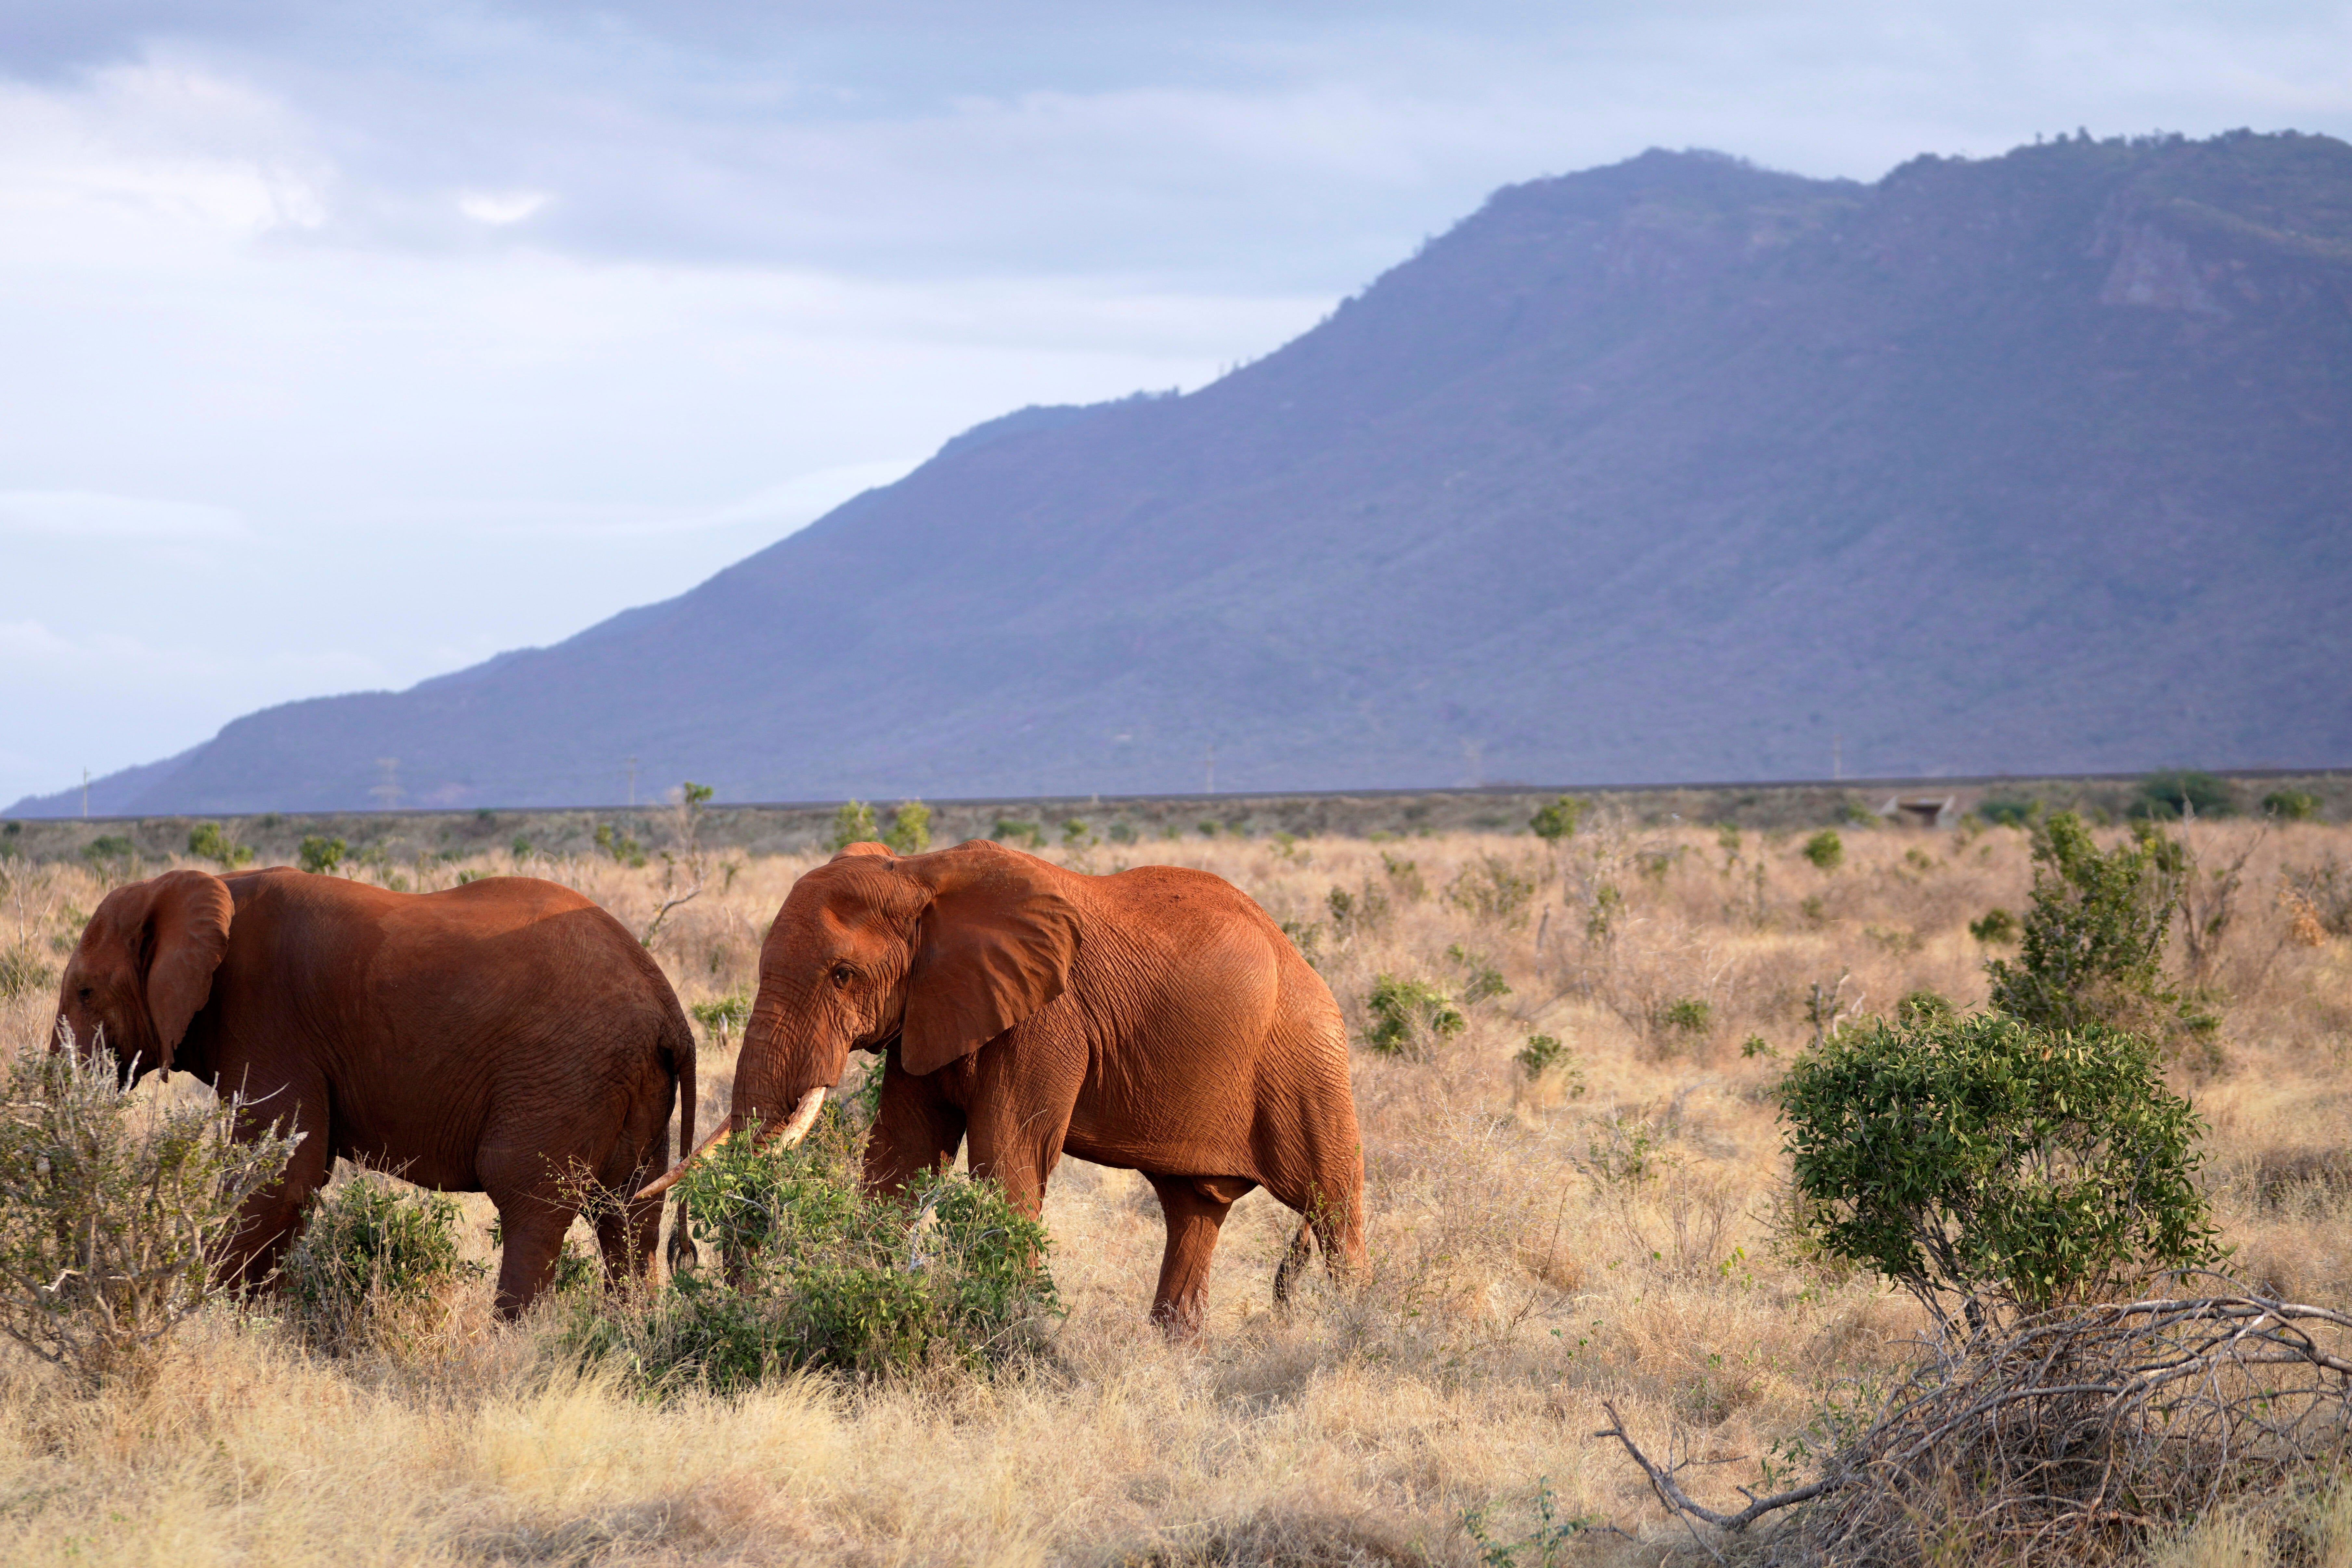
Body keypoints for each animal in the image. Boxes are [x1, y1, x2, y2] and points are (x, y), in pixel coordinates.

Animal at [55, 866, 696, 1316]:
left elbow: (279, 1176)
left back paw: (509, 1348)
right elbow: (293, 1177)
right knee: (628, 1213)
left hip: (563, 1070)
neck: (191, 886)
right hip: (628, 1081)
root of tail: (668, 1005)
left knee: (530, 1205)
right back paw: (626, 1332)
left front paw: (213, 1322)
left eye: (86, 992)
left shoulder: (266, 1017)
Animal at [639, 839, 1365, 1335]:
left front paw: (1018, 1332)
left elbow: (1006, 1157)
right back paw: (1175, 1350)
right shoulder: (928, 1009)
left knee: (1332, 1203)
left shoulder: (1046, 1018)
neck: (918, 874)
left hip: (1307, 1056)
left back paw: (1358, 1325)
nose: (687, 1259)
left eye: (842, 975)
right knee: (1193, 1211)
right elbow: (900, 1156)